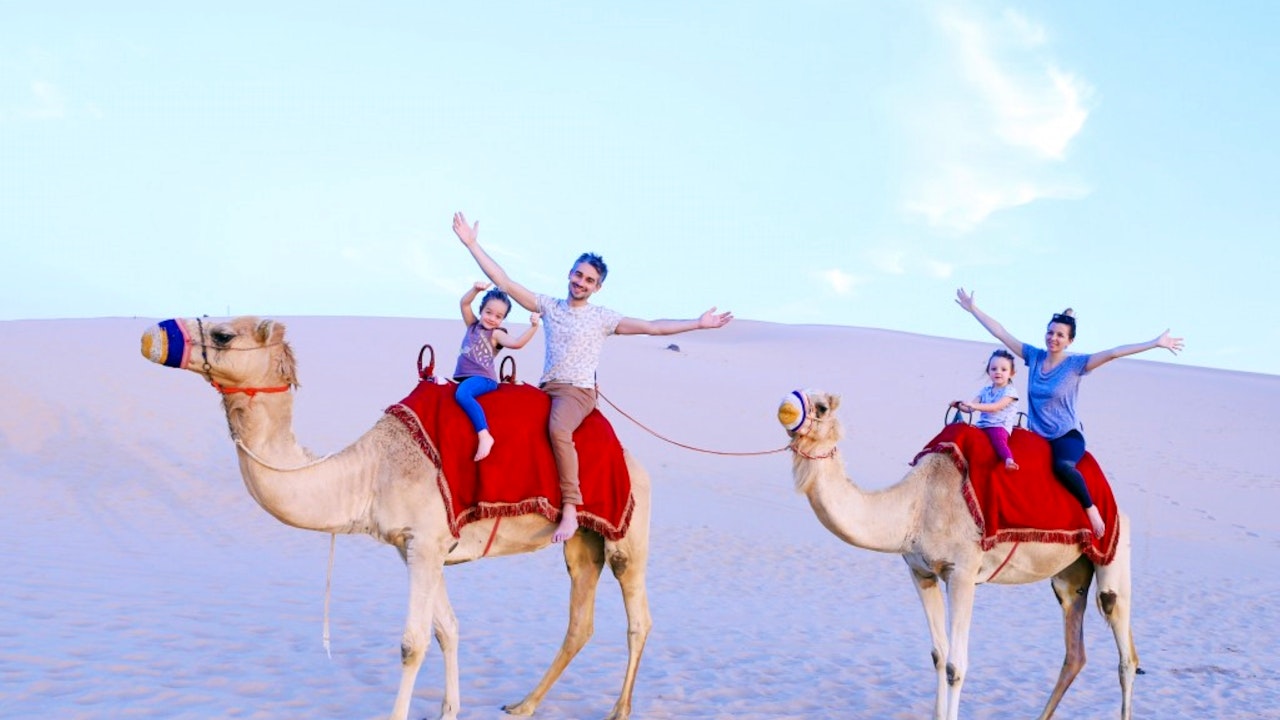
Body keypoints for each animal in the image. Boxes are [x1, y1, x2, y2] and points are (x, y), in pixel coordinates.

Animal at [140, 316, 652, 720]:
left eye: (223, 335)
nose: (153, 334)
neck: (372, 470)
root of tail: (632, 456)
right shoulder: (416, 547)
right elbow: (447, 630)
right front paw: (449, 711)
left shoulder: (426, 542)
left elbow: (413, 642)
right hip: (582, 539)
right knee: (580, 618)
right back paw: (524, 704)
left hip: (628, 527)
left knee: (637, 616)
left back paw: (619, 709)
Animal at [777, 389, 1138, 720]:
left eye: (821, 407)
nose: (785, 409)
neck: (917, 504)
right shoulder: (920, 571)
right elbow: (938, 654)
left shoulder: (962, 573)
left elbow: (955, 665)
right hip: (1068, 576)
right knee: (1075, 651)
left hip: (1113, 549)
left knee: (1124, 651)